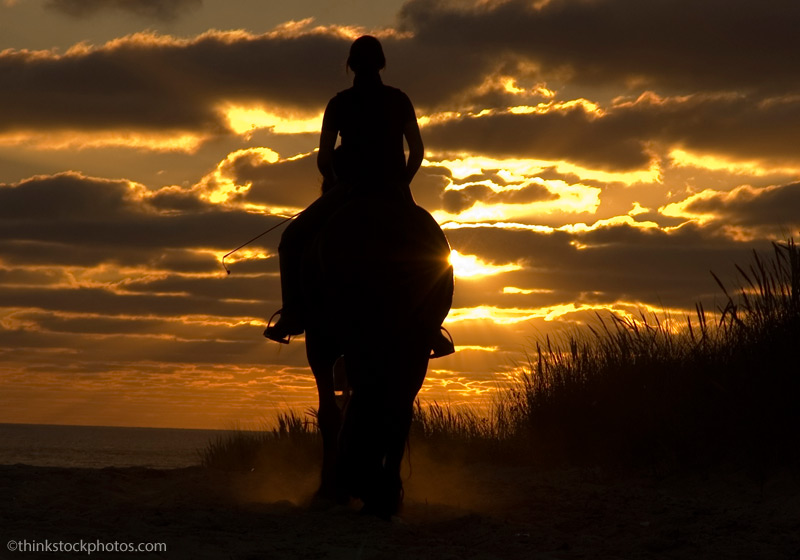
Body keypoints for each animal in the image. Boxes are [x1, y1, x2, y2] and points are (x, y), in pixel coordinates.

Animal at [302, 192, 454, 516]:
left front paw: (329, 491)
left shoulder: (322, 344)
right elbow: (400, 410)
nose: (357, 485)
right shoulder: (413, 347)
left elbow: (330, 413)